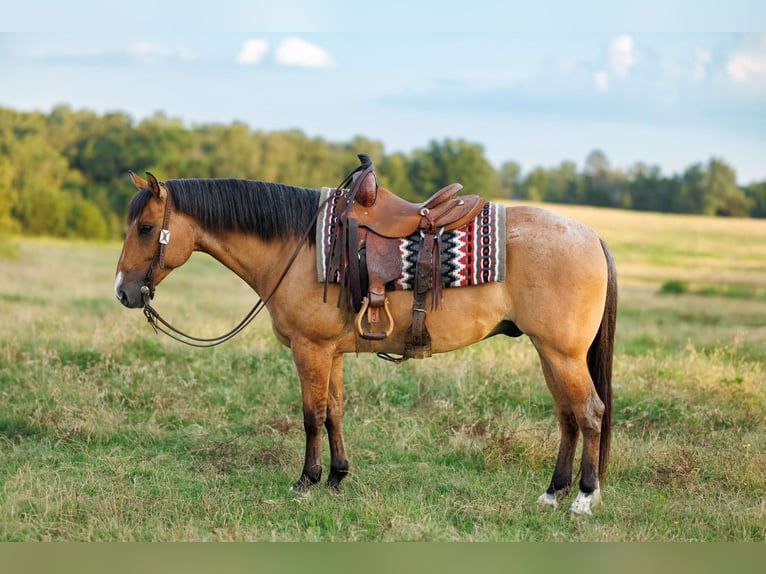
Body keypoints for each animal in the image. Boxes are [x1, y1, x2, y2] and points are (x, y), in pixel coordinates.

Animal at [114, 170, 617, 516]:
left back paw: (583, 499)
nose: (123, 291)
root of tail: (592, 235)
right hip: (549, 353)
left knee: (589, 413)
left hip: (563, 354)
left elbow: (311, 415)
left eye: (145, 227)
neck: (297, 246)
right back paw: (552, 493)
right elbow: (334, 411)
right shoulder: (331, 352)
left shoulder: (310, 349)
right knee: (568, 417)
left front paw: (306, 480)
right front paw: (337, 478)